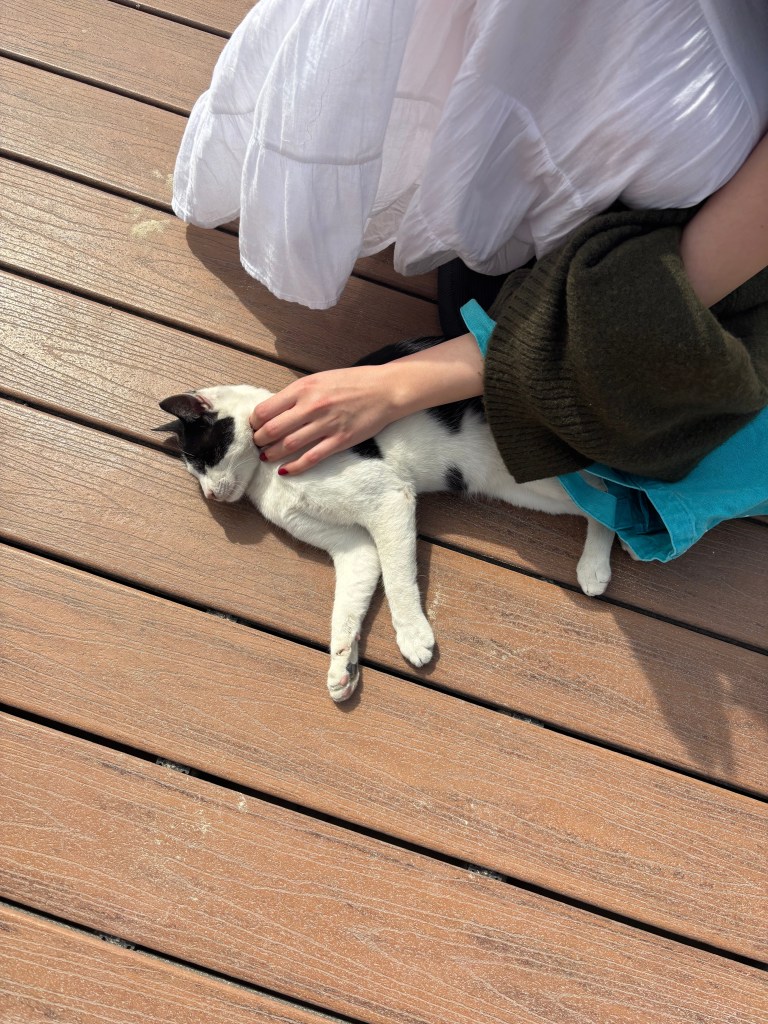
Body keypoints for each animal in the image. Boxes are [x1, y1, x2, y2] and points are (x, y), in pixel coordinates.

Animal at [160, 338, 615, 702]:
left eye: (204, 457)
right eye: (193, 470)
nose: (211, 495)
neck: (268, 474)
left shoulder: (390, 500)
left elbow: (398, 579)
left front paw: (413, 633)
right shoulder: (355, 547)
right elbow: (346, 606)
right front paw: (343, 666)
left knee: (610, 495)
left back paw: (595, 564)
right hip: (518, 486)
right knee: (600, 501)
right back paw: (593, 566)